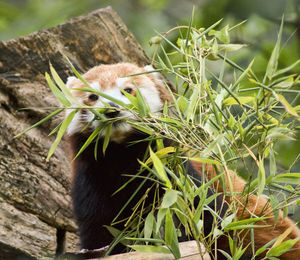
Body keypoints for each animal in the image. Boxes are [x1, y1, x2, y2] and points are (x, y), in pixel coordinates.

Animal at [65, 63, 300, 260]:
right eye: (92, 97)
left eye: (128, 90)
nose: (111, 109)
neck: (121, 154)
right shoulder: (92, 181)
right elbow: (99, 232)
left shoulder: (175, 175)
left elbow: (209, 220)